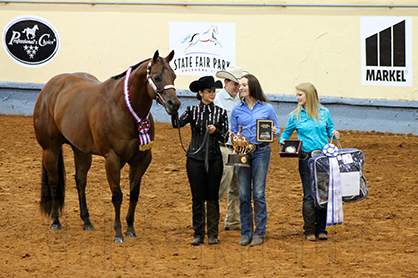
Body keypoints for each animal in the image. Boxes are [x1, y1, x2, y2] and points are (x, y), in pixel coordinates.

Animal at [33, 51, 180, 242]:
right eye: (156, 77)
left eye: (174, 76)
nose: (174, 104)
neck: (122, 108)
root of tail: (49, 87)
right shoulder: (112, 159)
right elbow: (117, 196)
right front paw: (118, 233)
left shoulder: (141, 160)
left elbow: (134, 193)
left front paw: (130, 229)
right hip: (50, 149)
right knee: (54, 180)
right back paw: (56, 220)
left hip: (81, 151)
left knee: (80, 180)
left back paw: (87, 221)